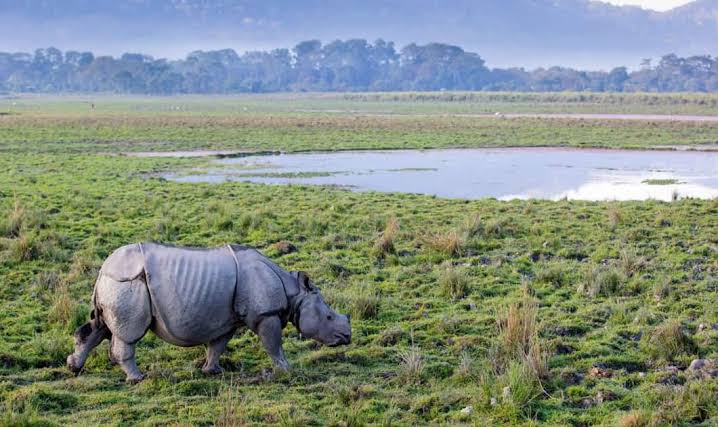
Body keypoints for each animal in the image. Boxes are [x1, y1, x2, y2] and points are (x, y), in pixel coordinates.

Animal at [66, 243, 352, 382]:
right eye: (328, 317)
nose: (347, 337)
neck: (294, 293)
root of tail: (103, 269)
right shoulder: (265, 314)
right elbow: (273, 345)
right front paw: (286, 370)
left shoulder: (228, 320)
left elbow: (218, 345)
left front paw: (212, 371)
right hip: (128, 284)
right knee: (128, 334)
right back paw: (137, 378)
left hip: (115, 284)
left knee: (99, 327)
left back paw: (73, 367)